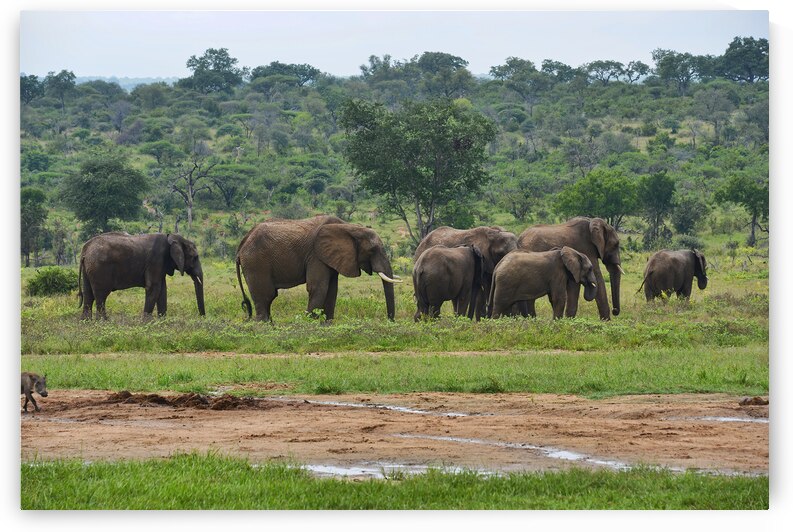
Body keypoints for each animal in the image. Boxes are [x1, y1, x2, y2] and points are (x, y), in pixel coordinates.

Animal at [235, 215, 401, 322]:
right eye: (372, 250)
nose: (389, 321)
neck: (349, 227)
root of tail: (242, 243)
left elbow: (332, 290)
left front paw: (327, 325)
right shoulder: (316, 255)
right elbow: (318, 287)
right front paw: (309, 324)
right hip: (256, 262)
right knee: (266, 295)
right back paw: (264, 326)